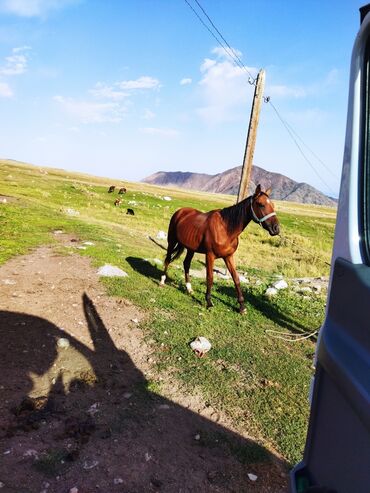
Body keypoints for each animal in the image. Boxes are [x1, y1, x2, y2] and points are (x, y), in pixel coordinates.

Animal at [160, 184, 278, 312]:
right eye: (261, 204)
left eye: (273, 205)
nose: (276, 228)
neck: (226, 229)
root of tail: (180, 211)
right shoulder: (210, 255)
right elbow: (210, 278)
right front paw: (209, 302)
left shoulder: (228, 256)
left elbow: (236, 279)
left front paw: (242, 306)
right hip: (172, 241)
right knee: (167, 259)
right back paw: (162, 281)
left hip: (191, 248)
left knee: (186, 264)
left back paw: (189, 289)